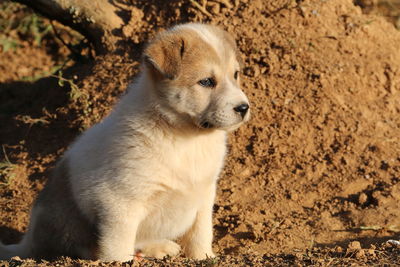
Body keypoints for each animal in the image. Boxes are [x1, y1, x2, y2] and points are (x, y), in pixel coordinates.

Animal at [0, 23, 250, 262]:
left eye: (236, 75)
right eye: (206, 82)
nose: (244, 107)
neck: (185, 136)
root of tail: (28, 241)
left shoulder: (204, 194)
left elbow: (201, 233)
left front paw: (205, 257)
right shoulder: (118, 202)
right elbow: (117, 246)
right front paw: (120, 260)